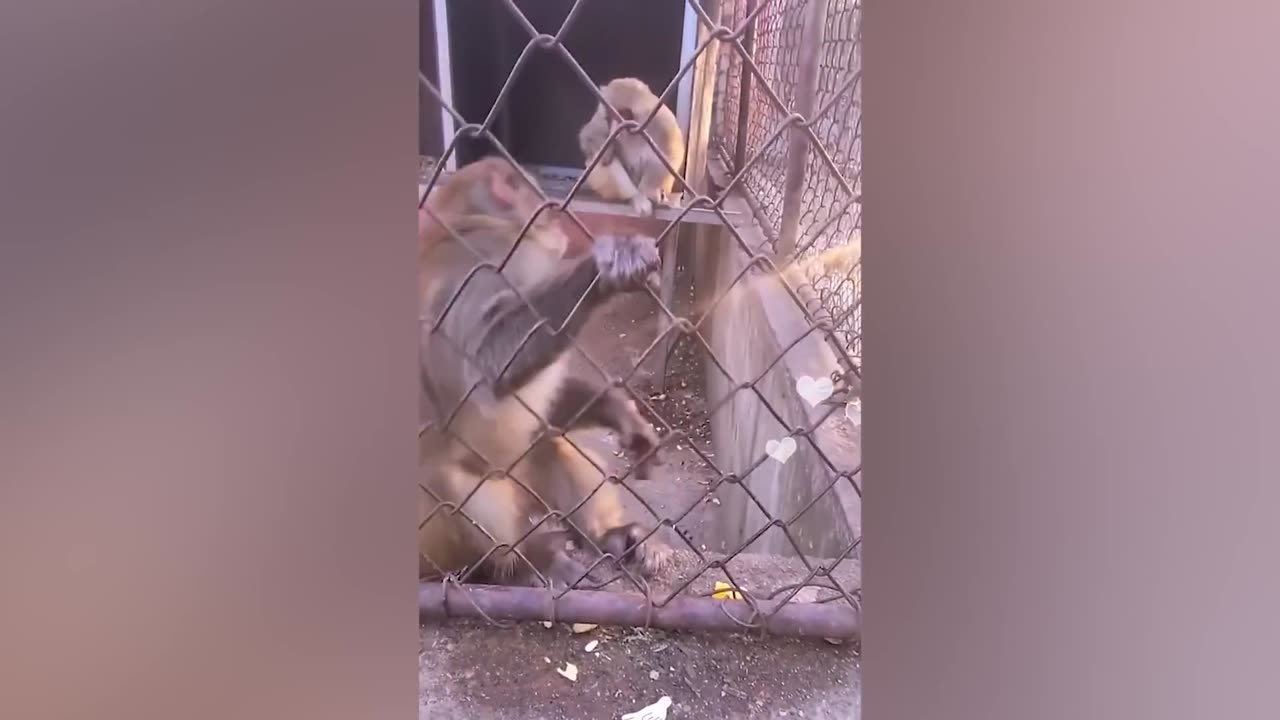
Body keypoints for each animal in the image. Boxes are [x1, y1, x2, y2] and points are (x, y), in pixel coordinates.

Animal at [419, 154, 680, 586]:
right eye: (532, 189)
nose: (552, 209)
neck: (469, 220)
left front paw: (620, 413)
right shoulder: (487, 260)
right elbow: (491, 359)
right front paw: (603, 273)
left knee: (545, 441)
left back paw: (614, 537)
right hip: (440, 536)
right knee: (453, 481)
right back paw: (524, 563)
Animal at [576, 76, 686, 215]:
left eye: (623, 114)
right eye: (610, 116)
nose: (614, 127)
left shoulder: (662, 122)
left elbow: (669, 157)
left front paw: (649, 191)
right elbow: (589, 134)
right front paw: (606, 150)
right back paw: (635, 196)